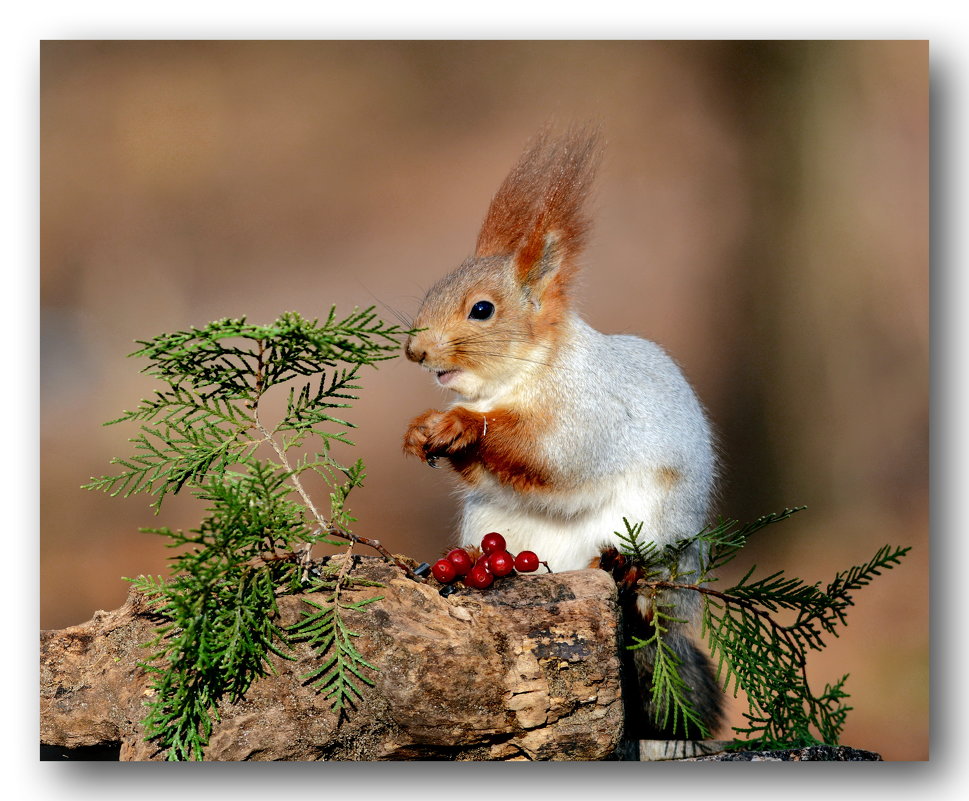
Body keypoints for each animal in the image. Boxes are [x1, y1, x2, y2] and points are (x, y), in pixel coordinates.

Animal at [398, 125, 724, 736]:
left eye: (482, 310)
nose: (416, 351)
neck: (513, 382)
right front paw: (421, 429)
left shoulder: (592, 411)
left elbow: (554, 454)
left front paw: (461, 424)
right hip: (496, 525)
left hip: (657, 536)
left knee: (644, 597)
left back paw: (619, 573)